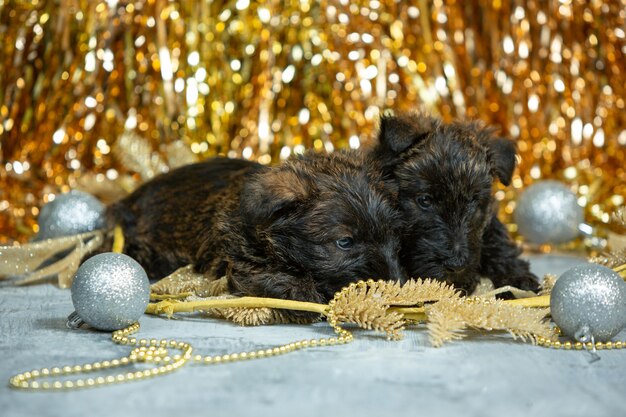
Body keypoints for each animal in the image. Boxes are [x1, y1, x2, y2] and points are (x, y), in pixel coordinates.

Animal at [107, 150, 404, 302]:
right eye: (344, 242)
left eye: (393, 235)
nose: (394, 285)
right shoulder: (241, 262)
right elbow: (282, 281)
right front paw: (309, 292)